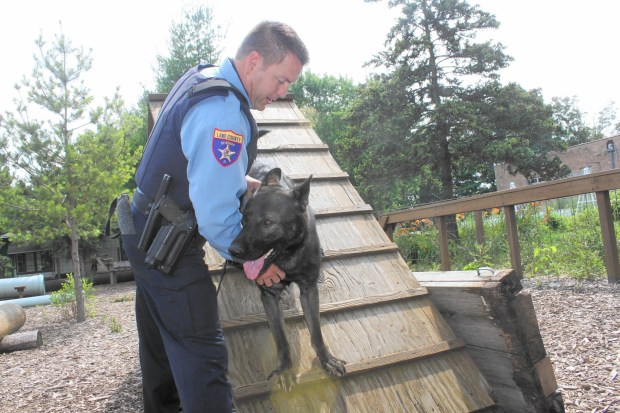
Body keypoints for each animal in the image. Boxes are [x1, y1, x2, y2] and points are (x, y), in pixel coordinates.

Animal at [228, 167, 346, 386]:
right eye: (245, 219)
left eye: (268, 222)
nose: (233, 251)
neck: (287, 256)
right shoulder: (268, 296)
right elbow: (281, 339)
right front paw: (284, 369)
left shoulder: (309, 292)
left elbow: (316, 332)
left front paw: (327, 359)